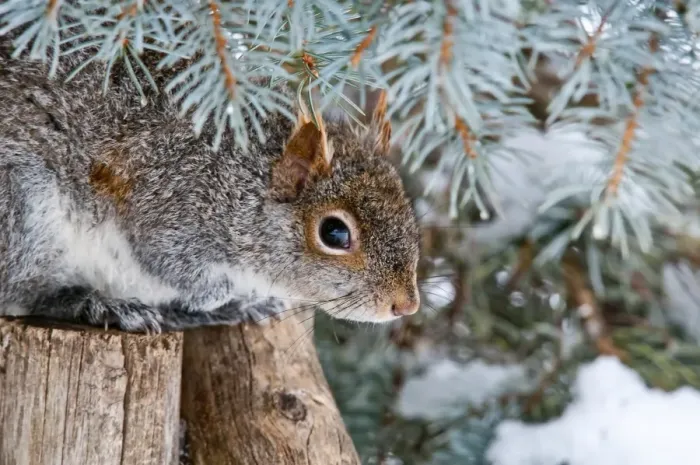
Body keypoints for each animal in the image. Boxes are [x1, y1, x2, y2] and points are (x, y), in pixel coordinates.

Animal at [0, 37, 421, 333]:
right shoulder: (170, 203)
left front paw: (244, 302)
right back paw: (101, 305)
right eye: (334, 233)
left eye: (407, 210)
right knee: (23, 293)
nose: (406, 306)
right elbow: (169, 263)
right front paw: (219, 296)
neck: (240, 178)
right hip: (26, 212)